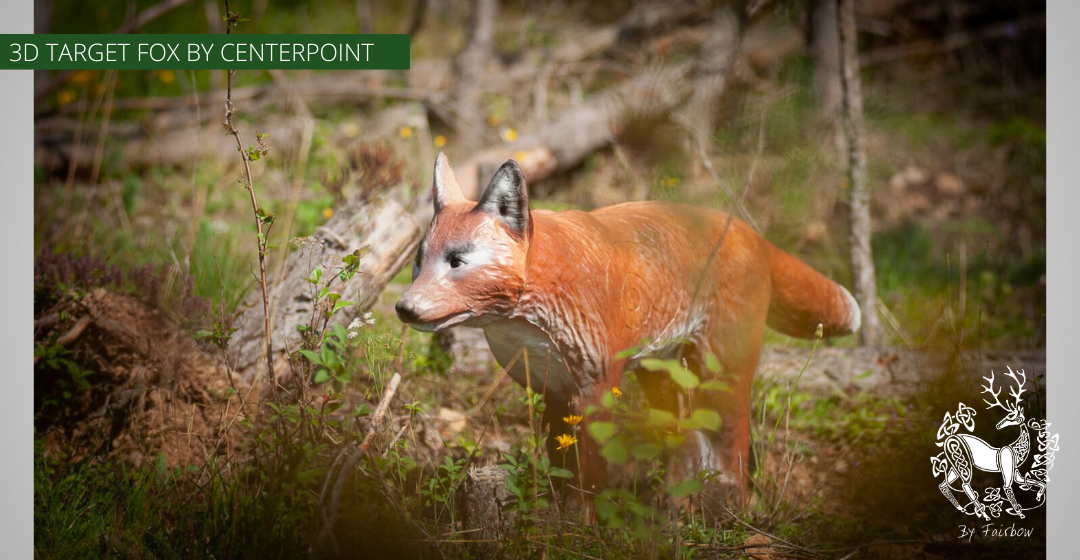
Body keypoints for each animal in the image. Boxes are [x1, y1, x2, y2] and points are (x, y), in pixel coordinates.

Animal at [396, 153, 861, 518]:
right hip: (661, 377)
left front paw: (587, 530)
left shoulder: (597, 387)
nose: (403, 307)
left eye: (457, 261)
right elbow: (562, 470)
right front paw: (563, 521)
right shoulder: (554, 391)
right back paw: (676, 509)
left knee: (733, 448)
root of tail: (751, 232)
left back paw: (731, 515)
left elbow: (593, 479)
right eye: (420, 261)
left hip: (721, 375)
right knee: (685, 445)